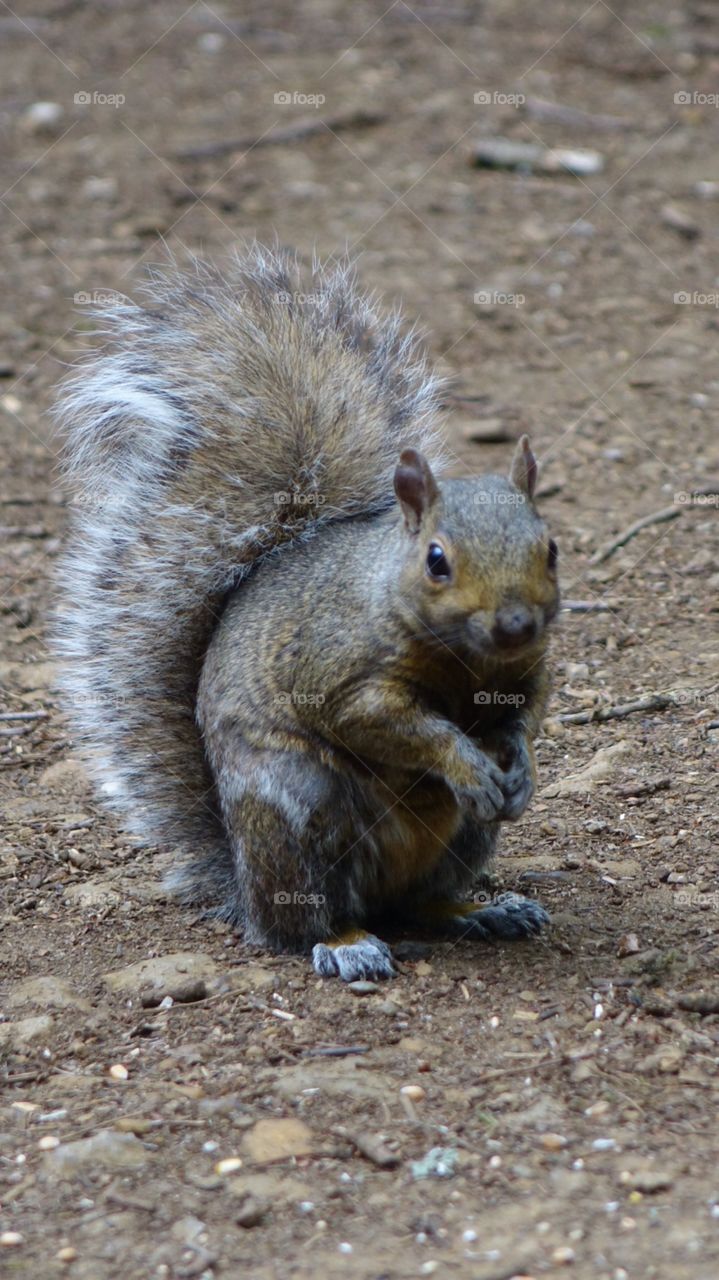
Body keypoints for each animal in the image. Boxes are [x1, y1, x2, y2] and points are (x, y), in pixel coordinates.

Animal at [55, 245, 560, 982]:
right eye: (436, 560)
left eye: (550, 548)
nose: (516, 625)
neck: (463, 656)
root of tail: (241, 880)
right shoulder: (338, 671)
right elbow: (384, 722)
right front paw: (464, 761)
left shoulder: (526, 672)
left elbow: (525, 715)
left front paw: (520, 769)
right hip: (300, 808)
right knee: (303, 920)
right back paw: (345, 943)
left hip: (463, 838)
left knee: (421, 904)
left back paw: (481, 910)